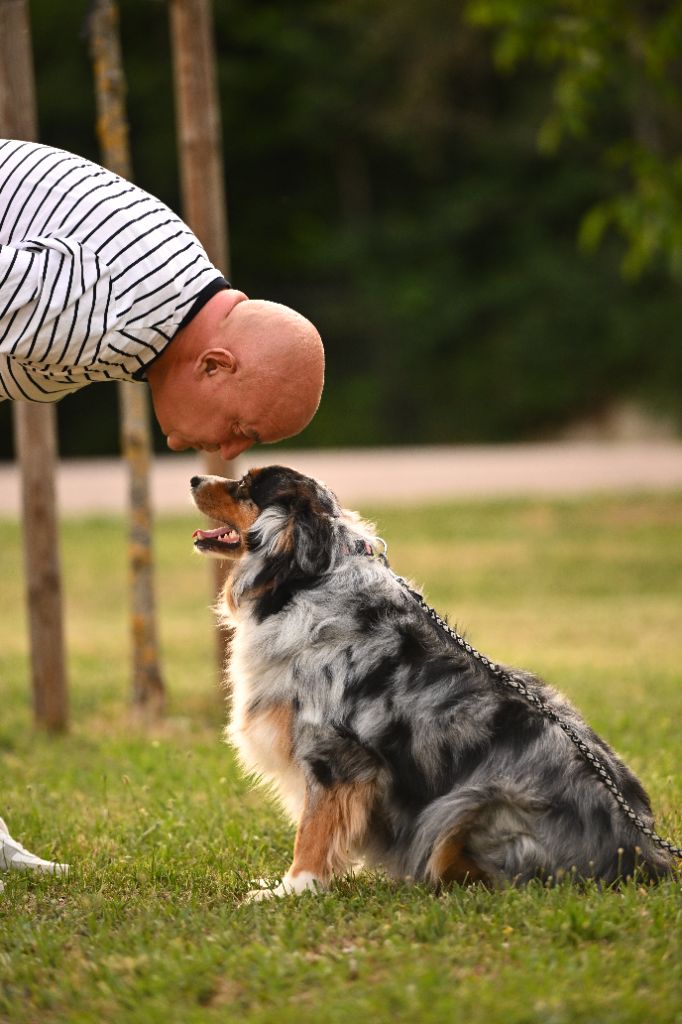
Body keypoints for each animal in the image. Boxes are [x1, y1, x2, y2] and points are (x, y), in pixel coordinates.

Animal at [188, 464, 671, 897]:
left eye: (246, 486)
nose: (193, 478)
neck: (308, 579)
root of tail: (649, 860)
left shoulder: (336, 753)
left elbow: (313, 831)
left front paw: (292, 889)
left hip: (464, 803)